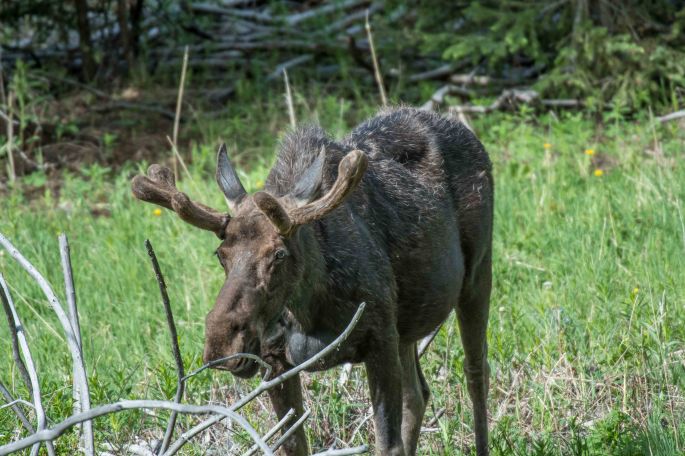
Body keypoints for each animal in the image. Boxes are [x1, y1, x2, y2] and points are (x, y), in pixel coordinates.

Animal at [131, 107, 493, 456]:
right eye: (221, 254)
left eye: (279, 254)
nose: (222, 343)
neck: (310, 309)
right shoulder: (277, 362)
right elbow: (292, 445)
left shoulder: (379, 341)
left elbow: (388, 445)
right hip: (406, 323)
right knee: (417, 394)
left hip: (476, 276)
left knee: (475, 372)